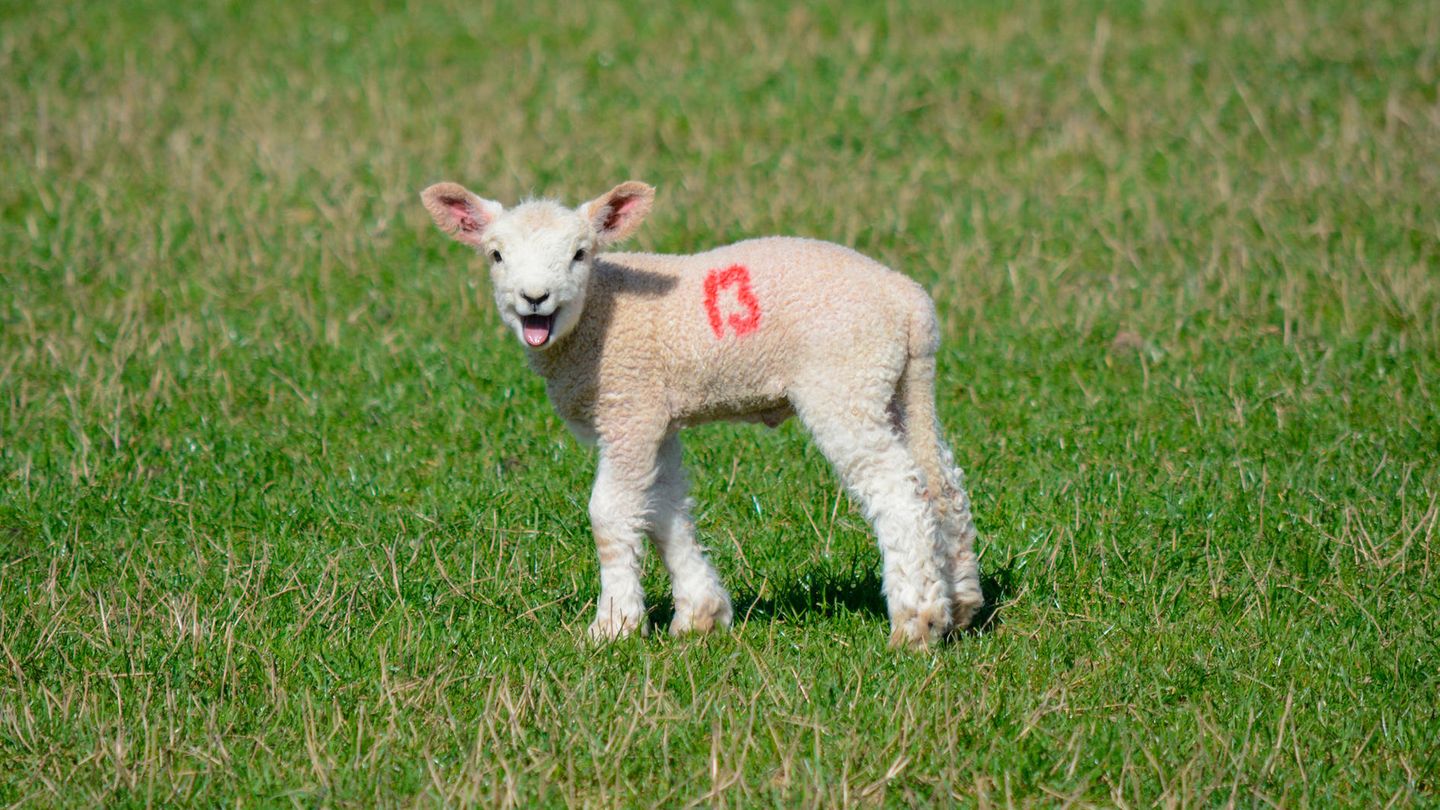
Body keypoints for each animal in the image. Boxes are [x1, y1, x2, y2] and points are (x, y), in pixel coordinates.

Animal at [419, 180, 983, 647]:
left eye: (580, 254)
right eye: (495, 255)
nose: (534, 299)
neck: (598, 313)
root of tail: (909, 301)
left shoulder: (630, 405)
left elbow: (610, 514)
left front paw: (613, 627)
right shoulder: (656, 414)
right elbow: (662, 509)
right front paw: (699, 617)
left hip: (844, 382)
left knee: (898, 493)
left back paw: (917, 624)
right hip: (899, 386)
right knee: (942, 484)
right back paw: (961, 606)